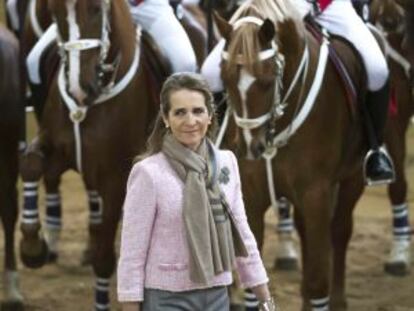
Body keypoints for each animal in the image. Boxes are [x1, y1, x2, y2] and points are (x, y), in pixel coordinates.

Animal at [19, 0, 160, 310]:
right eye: (55, 11)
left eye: (96, 8)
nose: (78, 88)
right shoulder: (56, 149)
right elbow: (31, 164)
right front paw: (33, 247)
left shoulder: (116, 178)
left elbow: (105, 259)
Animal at [213, 0, 368, 310]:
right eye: (225, 77)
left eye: (267, 78)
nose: (251, 148)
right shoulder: (252, 196)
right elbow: (254, 281)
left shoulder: (316, 194)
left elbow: (318, 278)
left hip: (353, 176)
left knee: (340, 231)